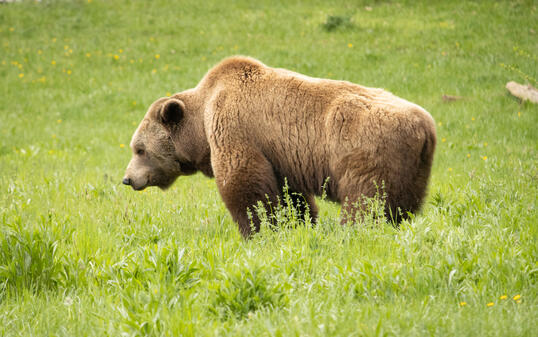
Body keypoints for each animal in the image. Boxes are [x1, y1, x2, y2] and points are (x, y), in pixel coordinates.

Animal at [124, 55, 436, 236]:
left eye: (139, 149)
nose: (128, 179)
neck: (200, 124)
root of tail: (426, 127)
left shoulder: (235, 127)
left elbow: (244, 183)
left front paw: (256, 230)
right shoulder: (282, 155)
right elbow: (290, 194)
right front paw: (297, 223)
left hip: (367, 150)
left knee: (366, 199)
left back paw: (354, 230)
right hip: (413, 170)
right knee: (401, 205)